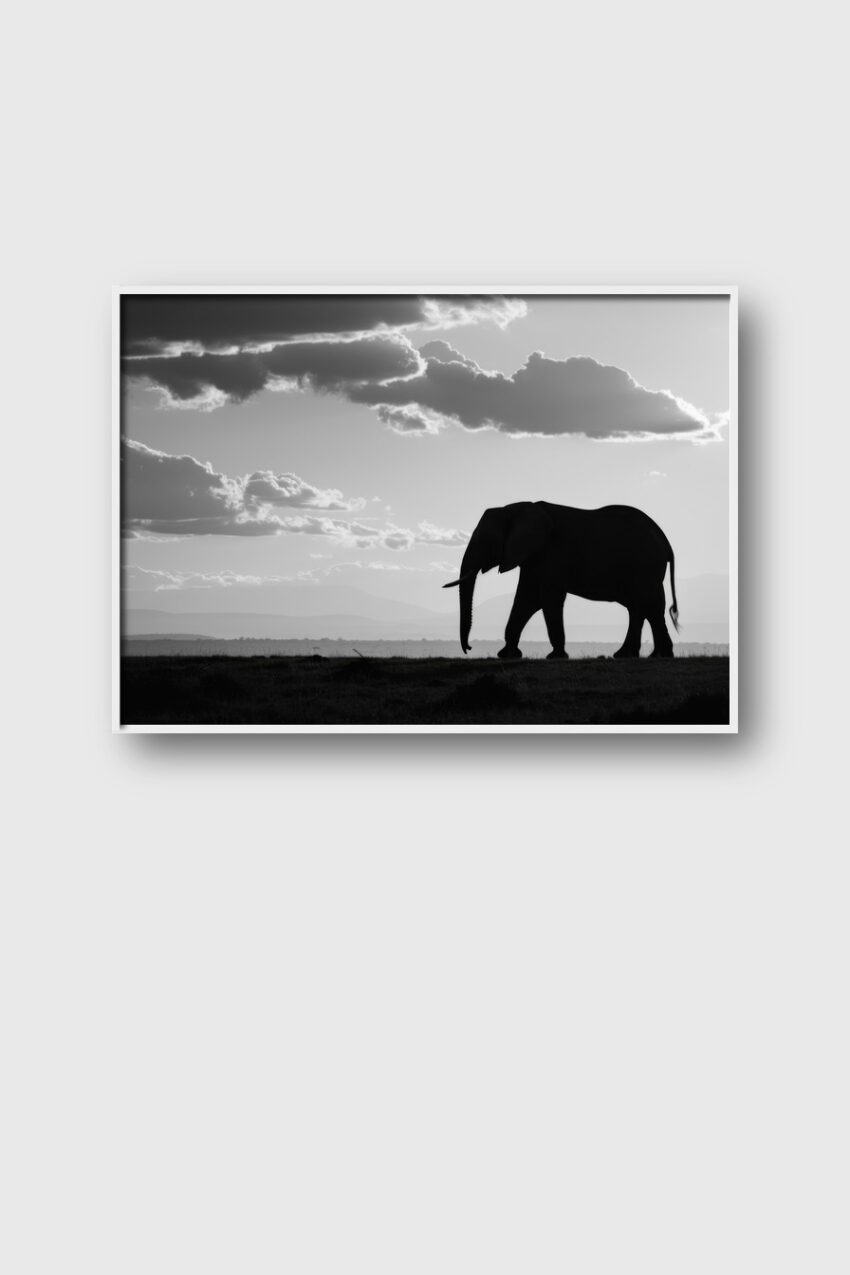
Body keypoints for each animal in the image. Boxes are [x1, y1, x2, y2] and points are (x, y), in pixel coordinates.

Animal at [443, 502, 679, 660]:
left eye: (487, 541)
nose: (469, 648)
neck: (515, 507)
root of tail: (665, 540)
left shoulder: (552, 553)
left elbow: (547, 599)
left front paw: (555, 656)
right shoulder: (533, 557)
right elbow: (526, 600)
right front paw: (508, 655)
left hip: (643, 566)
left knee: (641, 606)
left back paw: (633, 655)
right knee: (650, 607)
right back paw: (652, 655)